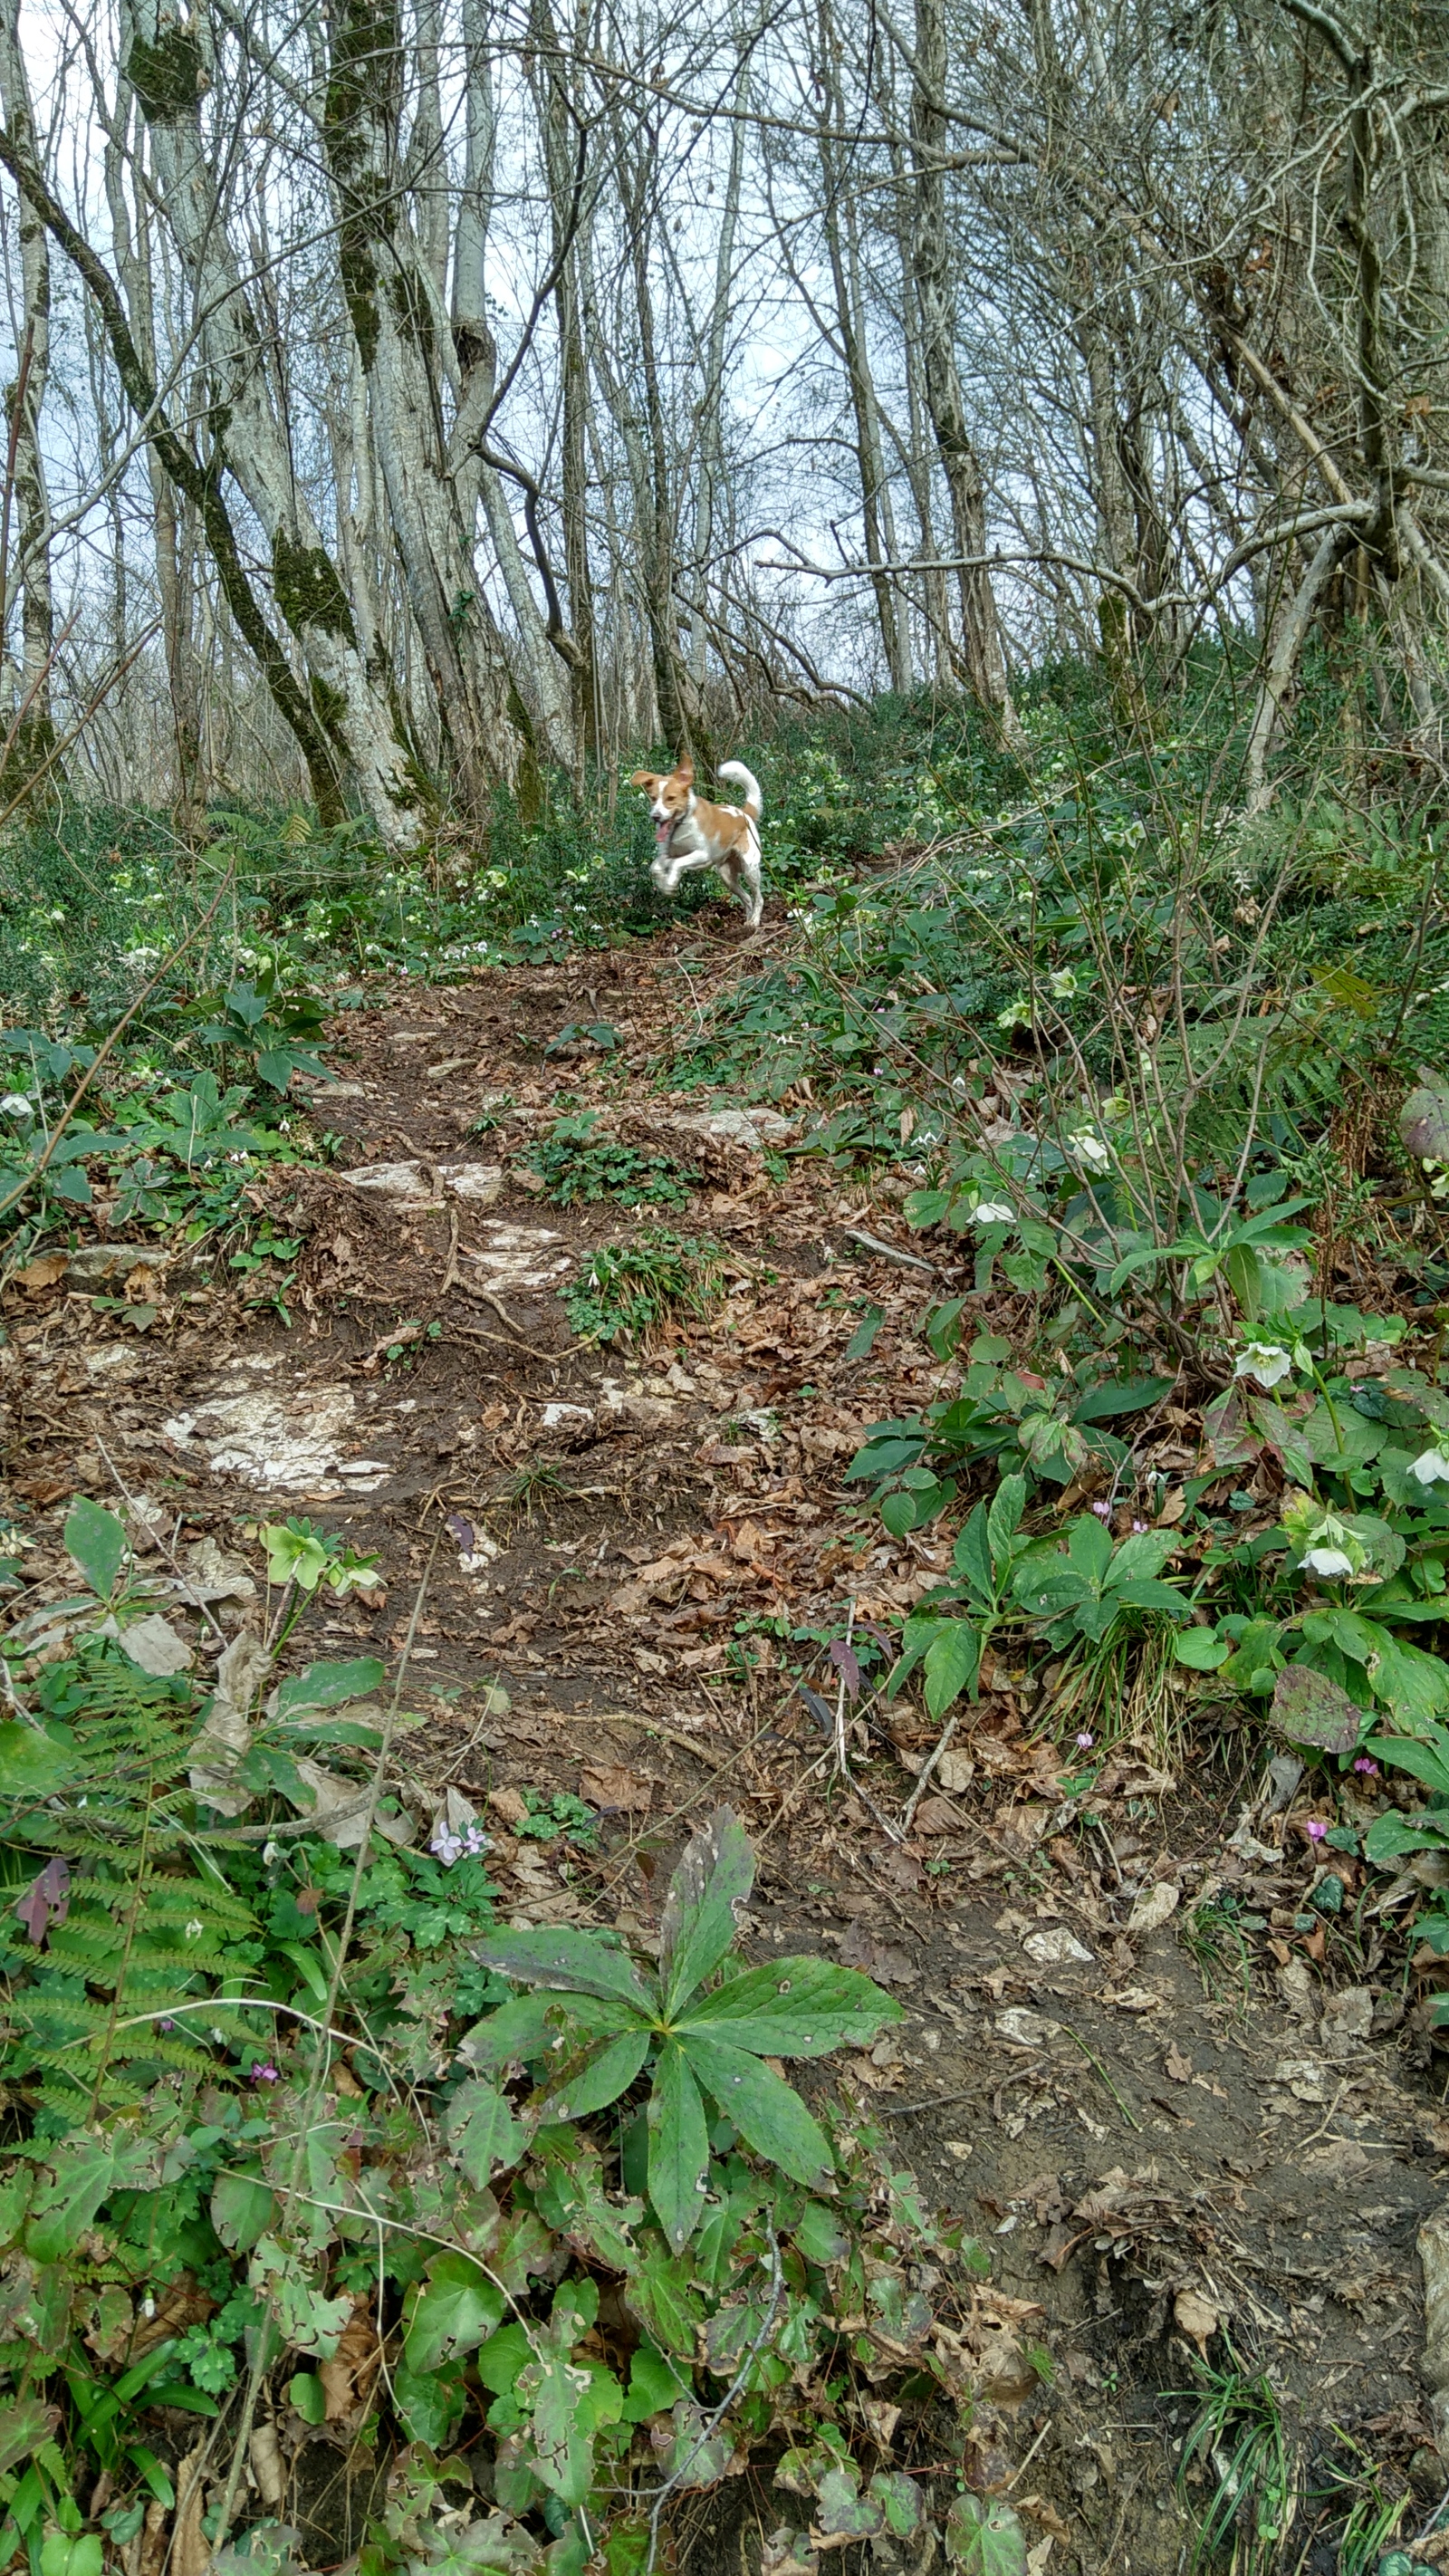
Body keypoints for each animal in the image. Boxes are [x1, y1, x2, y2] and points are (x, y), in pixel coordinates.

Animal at [630, 752, 766, 927]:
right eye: (653, 798)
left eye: (671, 798)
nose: (655, 816)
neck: (680, 825)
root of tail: (745, 813)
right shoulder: (667, 855)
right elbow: (656, 866)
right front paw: (665, 884)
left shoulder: (702, 855)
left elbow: (676, 863)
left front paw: (670, 883)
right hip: (727, 876)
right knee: (747, 898)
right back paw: (747, 921)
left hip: (750, 869)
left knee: (759, 898)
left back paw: (754, 921)